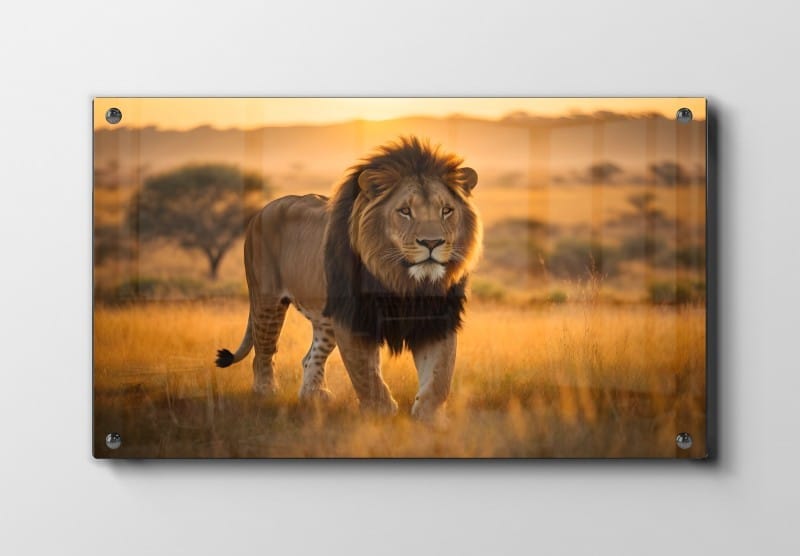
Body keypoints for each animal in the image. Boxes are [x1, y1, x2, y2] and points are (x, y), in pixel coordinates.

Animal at [215, 136, 482, 420]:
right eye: (405, 211)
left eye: (446, 210)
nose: (432, 243)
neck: (404, 282)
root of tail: (263, 209)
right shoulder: (355, 318)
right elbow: (366, 374)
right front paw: (382, 415)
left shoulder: (436, 318)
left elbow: (439, 374)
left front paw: (429, 417)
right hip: (267, 301)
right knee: (263, 351)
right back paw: (266, 393)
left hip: (326, 320)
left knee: (310, 357)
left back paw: (313, 396)